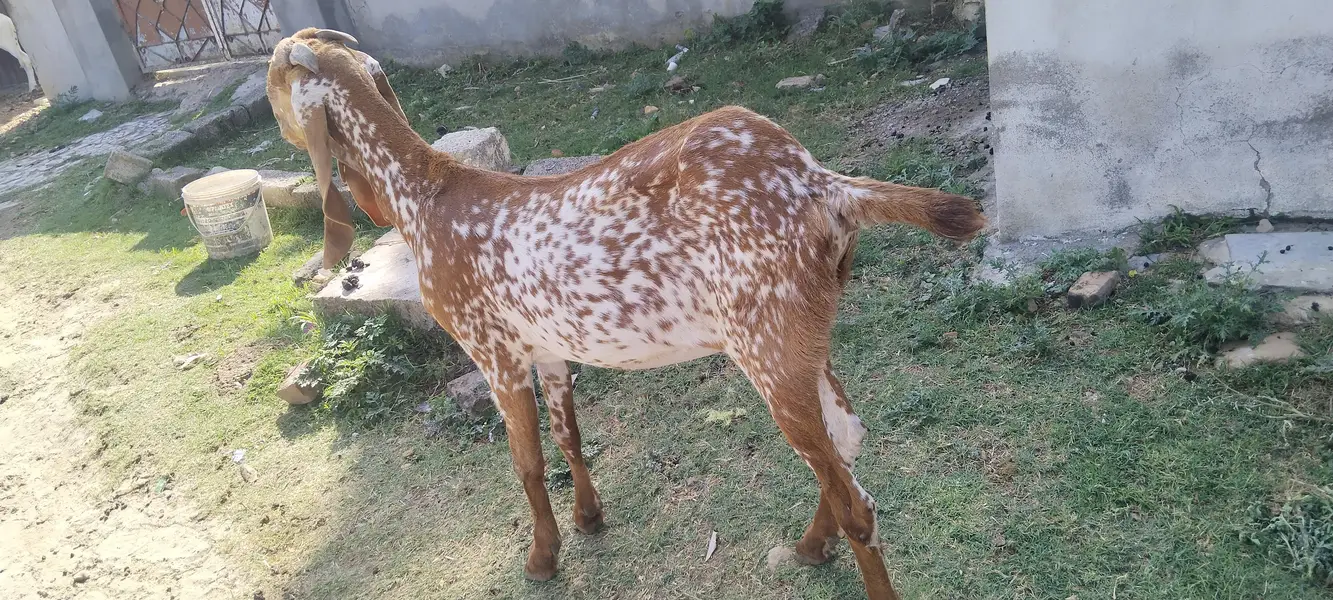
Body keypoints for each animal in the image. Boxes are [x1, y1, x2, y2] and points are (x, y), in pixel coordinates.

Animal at [267, 28, 986, 600]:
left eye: (273, 83)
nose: (277, 127)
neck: (426, 196)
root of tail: (822, 185)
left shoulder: (493, 351)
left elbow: (525, 463)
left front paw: (542, 558)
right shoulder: (550, 349)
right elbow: (569, 438)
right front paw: (588, 520)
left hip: (767, 348)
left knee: (855, 498)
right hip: (804, 341)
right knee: (847, 443)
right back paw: (811, 547)